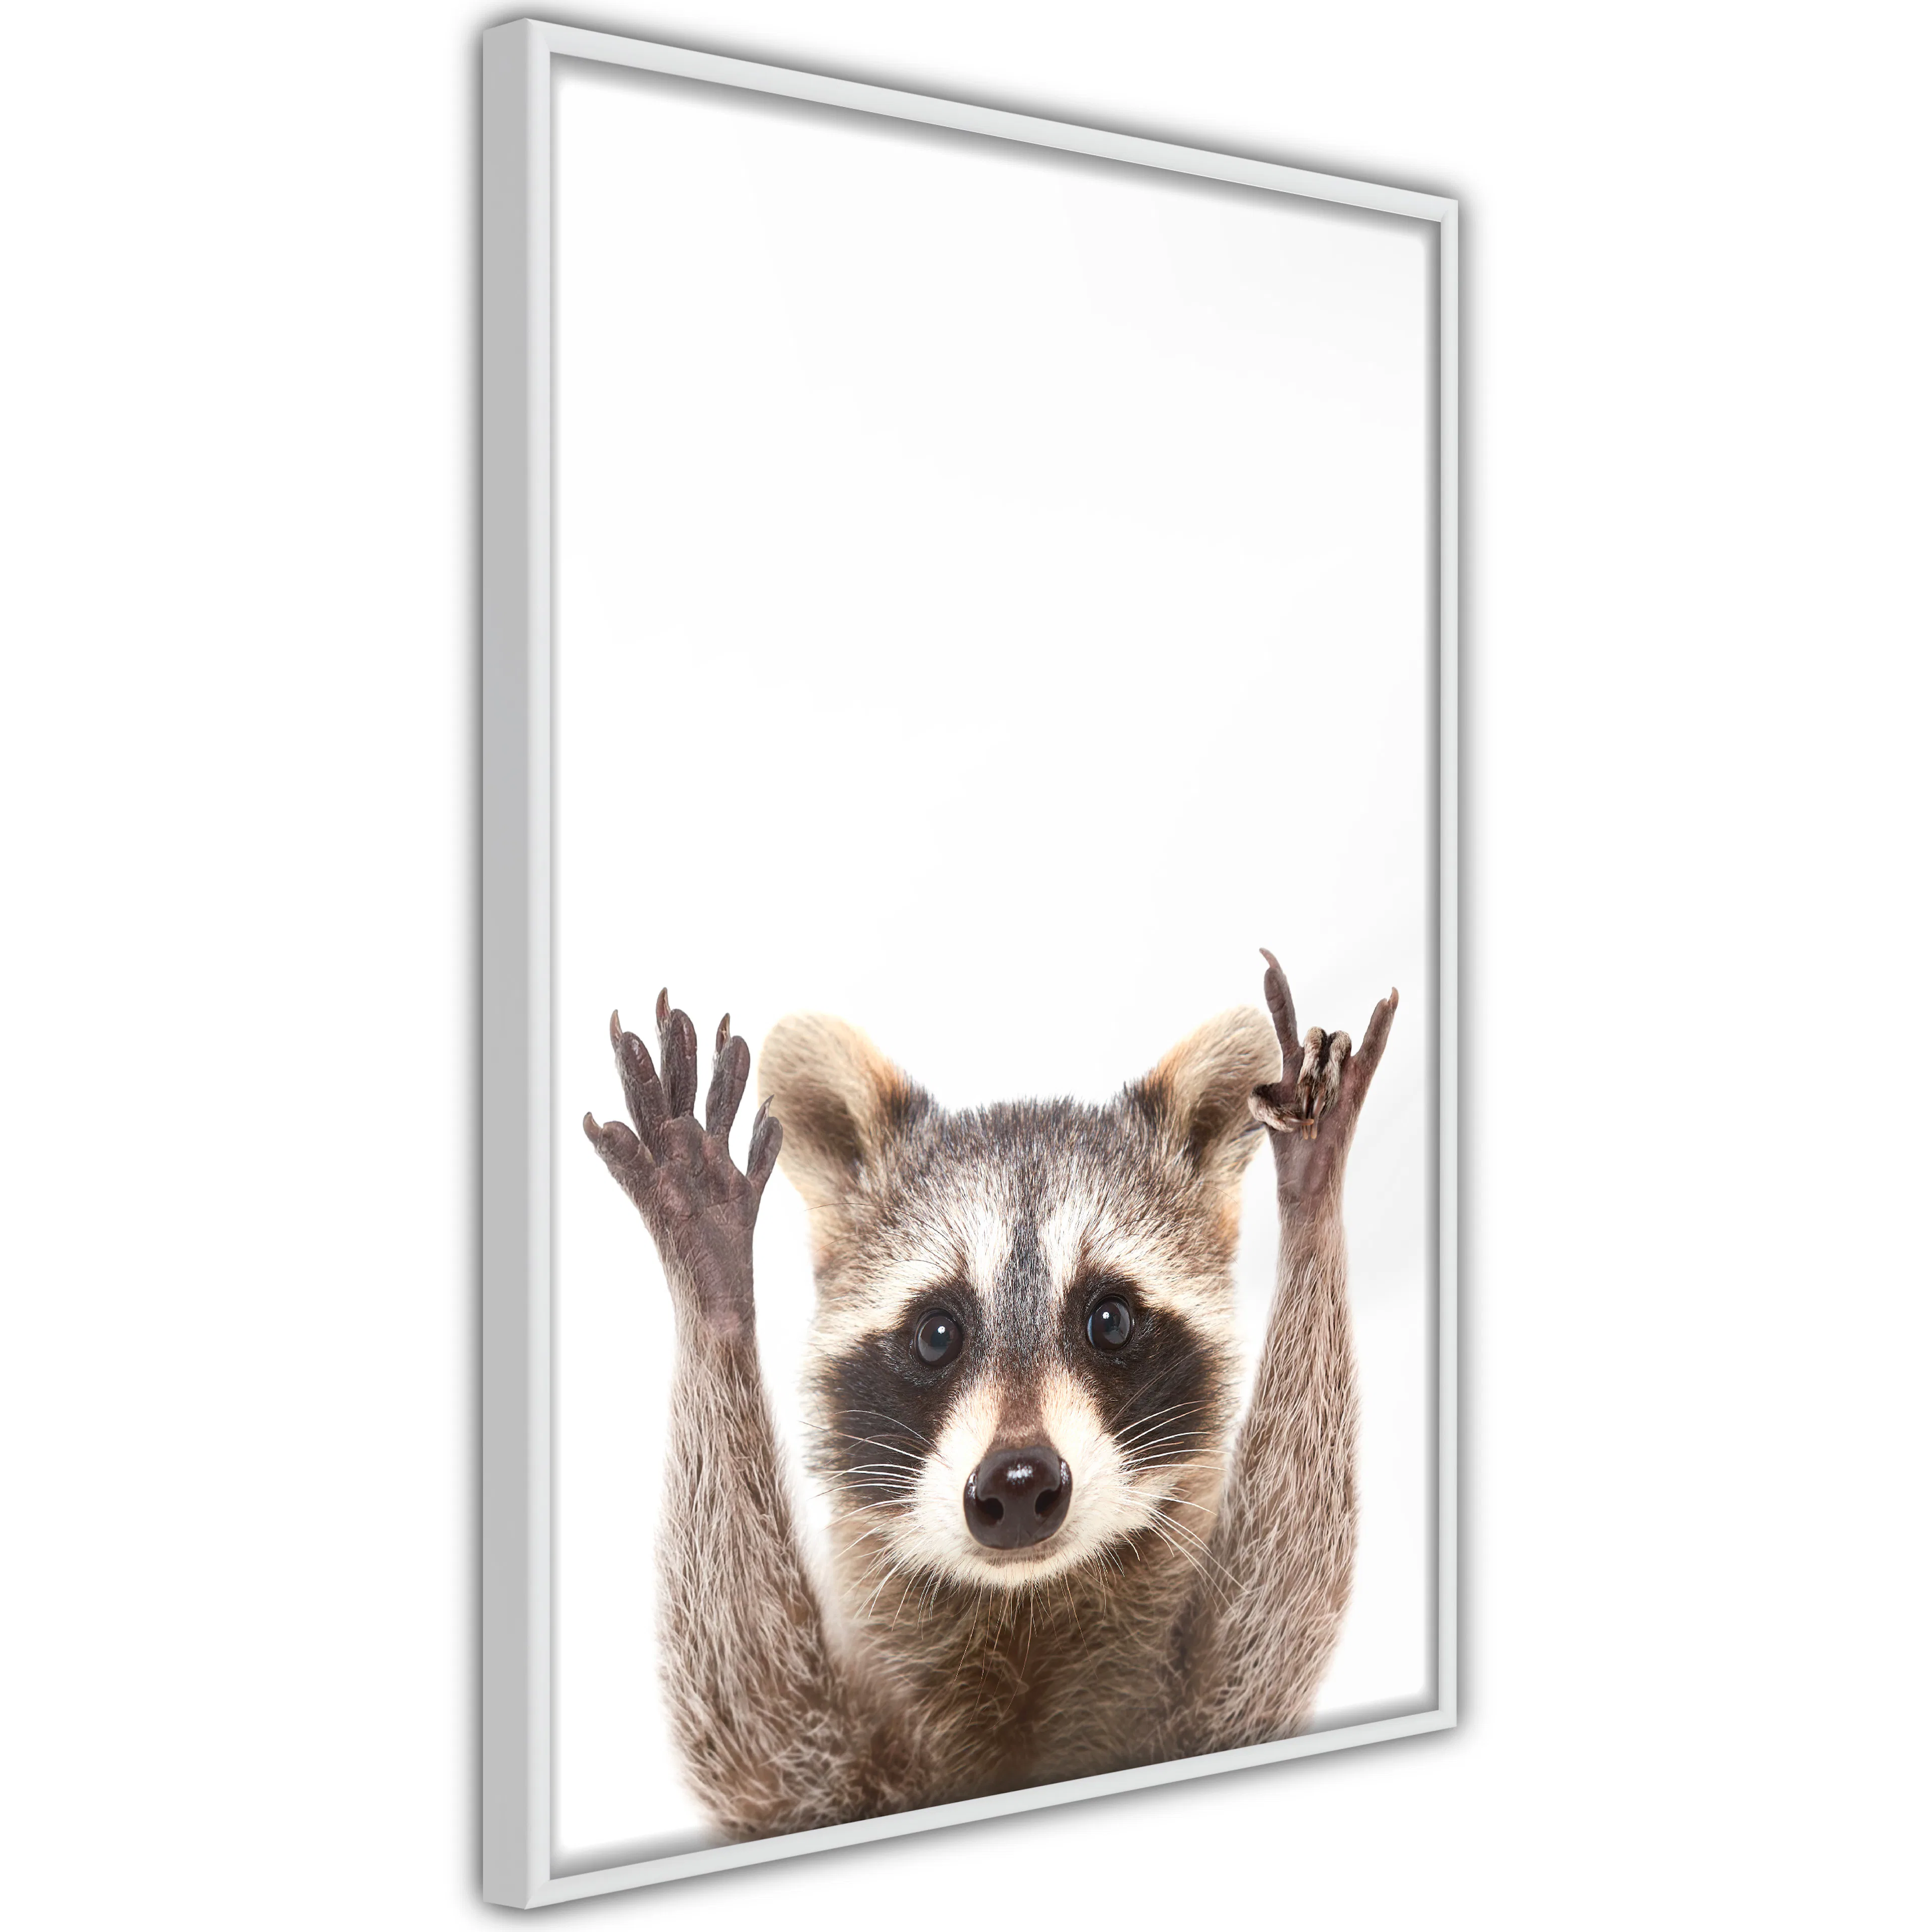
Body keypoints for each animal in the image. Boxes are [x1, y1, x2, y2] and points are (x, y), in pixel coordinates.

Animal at [582, 949, 1396, 1841]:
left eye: (1109, 1320)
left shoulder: (1197, 1707)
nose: (1018, 1483)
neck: (1023, 1611)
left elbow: (1275, 1616)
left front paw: (1313, 1190)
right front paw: (712, 1280)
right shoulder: (827, 1767)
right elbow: (752, 1723)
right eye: (938, 1334)